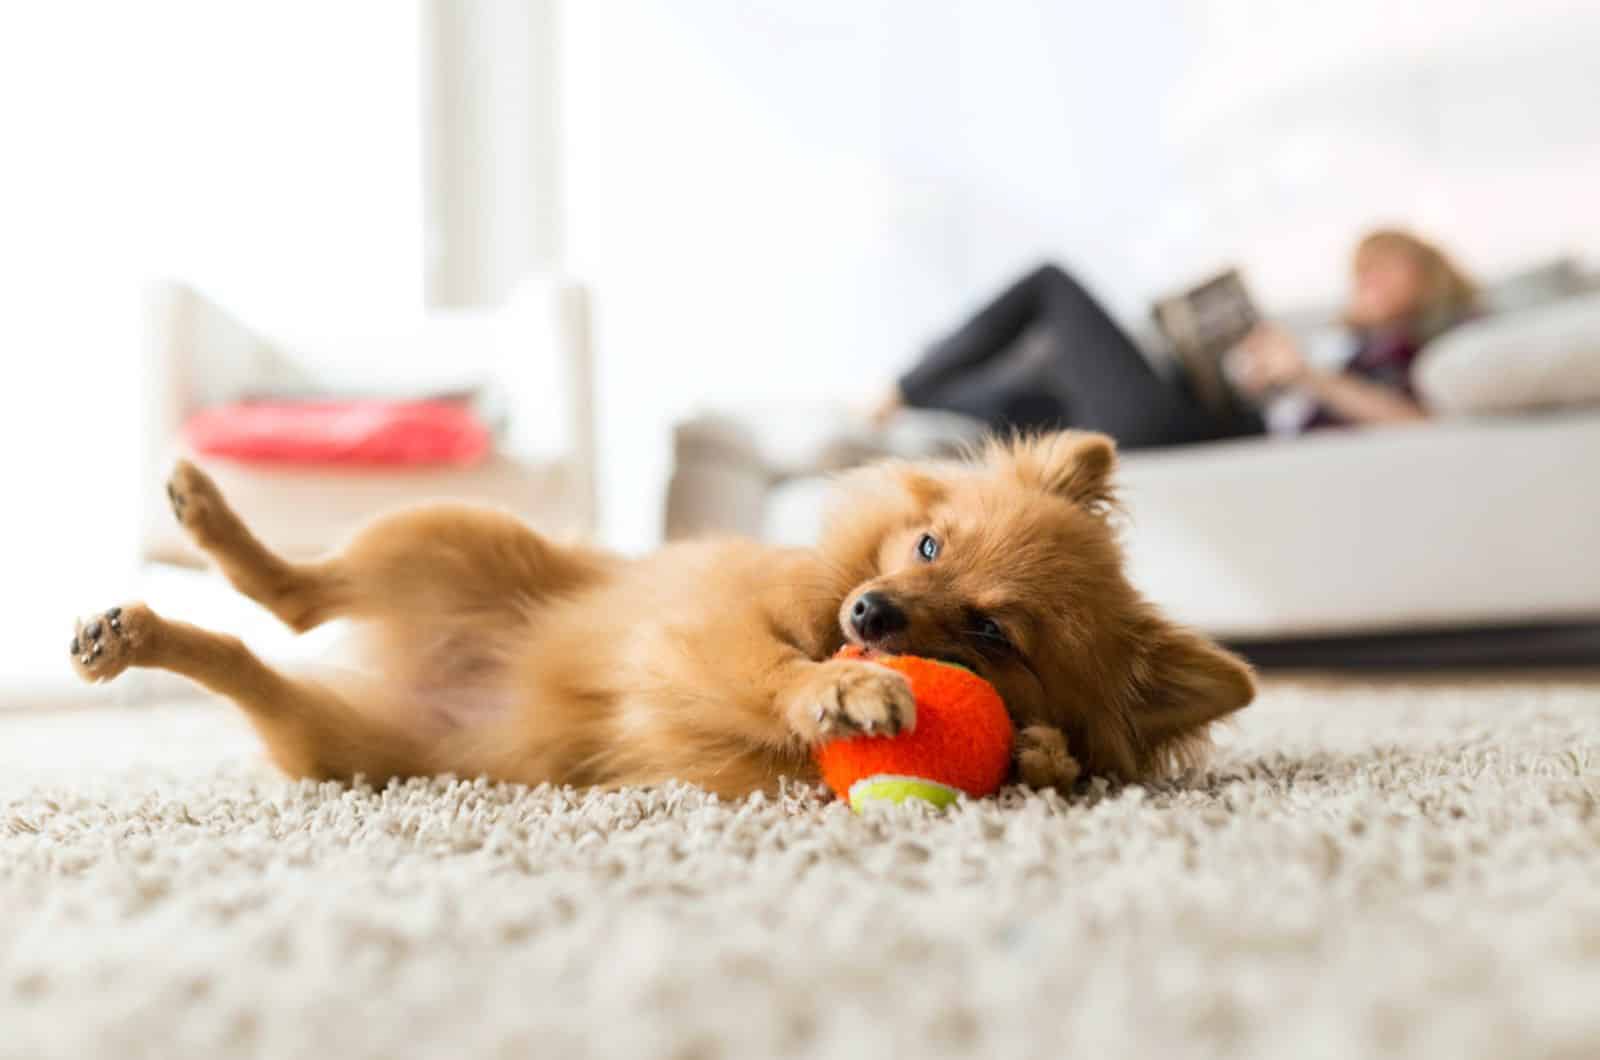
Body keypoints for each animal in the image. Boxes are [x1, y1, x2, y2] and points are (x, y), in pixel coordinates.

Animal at [72, 432, 1248, 797]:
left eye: (990, 633)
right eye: (927, 548)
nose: (870, 612)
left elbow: (1051, 757)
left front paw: (1042, 754)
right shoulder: (706, 633)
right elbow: (779, 674)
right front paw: (841, 685)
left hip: (344, 745)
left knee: (256, 653)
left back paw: (135, 636)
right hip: (450, 533)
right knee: (294, 590)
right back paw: (197, 525)